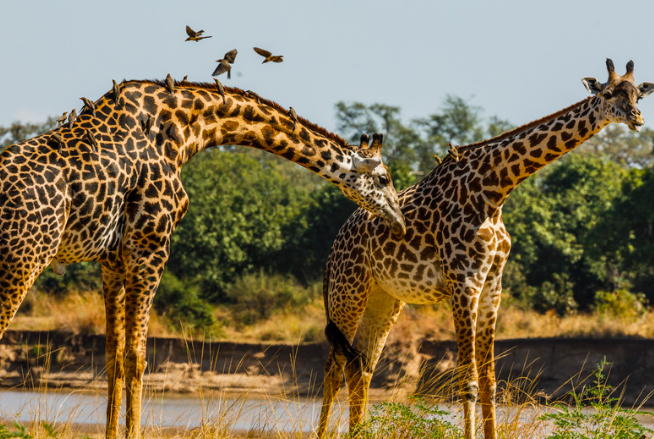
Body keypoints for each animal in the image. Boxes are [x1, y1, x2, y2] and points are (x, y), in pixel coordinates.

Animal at [0, 78, 408, 439]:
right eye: (384, 178)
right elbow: (138, 357)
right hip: (23, 258)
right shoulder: (151, 245)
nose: (400, 222)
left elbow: (113, 356)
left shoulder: (112, 260)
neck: (184, 130)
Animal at [318, 59, 654, 439]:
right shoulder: (463, 284)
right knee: (334, 367)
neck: (495, 189)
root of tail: (334, 247)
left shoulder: (493, 284)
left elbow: (490, 381)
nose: (637, 118)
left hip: (385, 297)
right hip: (348, 290)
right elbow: (468, 381)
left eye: (638, 94)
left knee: (361, 366)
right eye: (609, 93)